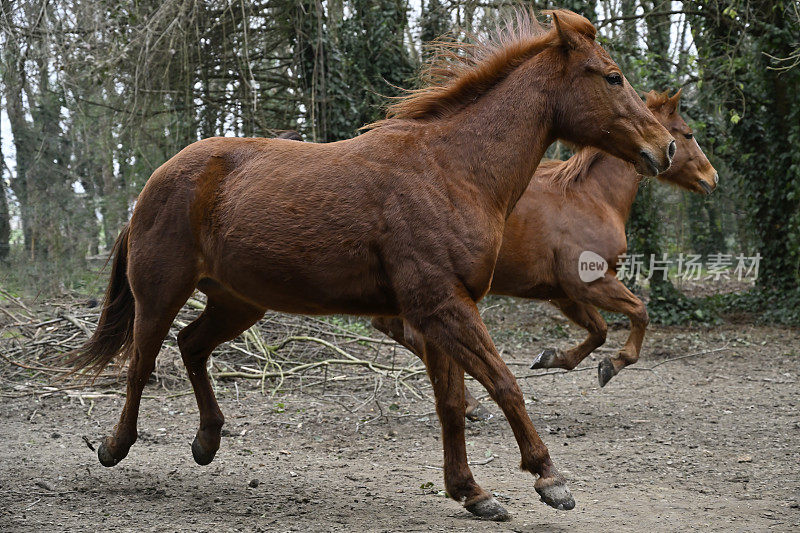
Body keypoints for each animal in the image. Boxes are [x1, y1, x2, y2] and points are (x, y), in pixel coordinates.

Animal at [69, 11, 676, 520]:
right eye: (613, 77)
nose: (665, 147)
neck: (451, 170)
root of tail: (155, 181)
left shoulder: (440, 313)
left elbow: (452, 403)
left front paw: (472, 493)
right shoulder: (444, 306)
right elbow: (504, 383)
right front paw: (549, 479)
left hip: (238, 302)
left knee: (191, 346)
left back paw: (207, 441)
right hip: (160, 294)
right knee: (141, 365)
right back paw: (113, 446)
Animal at [376, 90, 720, 424]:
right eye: (687, 134)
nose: (712, 177)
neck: (593, 197)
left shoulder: (564, 294)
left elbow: (599, 330)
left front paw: (551, 358)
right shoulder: (590, 283)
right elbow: (640, 312)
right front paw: (612, 365)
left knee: (394, 328)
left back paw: (471, 405)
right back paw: (473, 405)